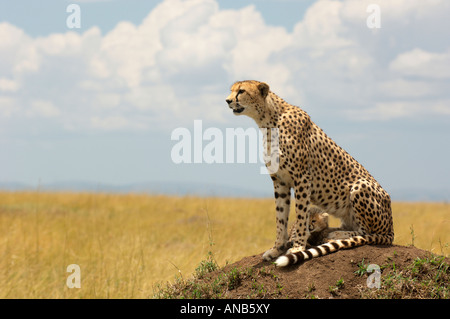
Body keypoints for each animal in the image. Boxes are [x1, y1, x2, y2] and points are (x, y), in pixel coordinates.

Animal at [225, 80, 394, 268]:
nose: (227, 100)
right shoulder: (280, 181)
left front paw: (298, 247)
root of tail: (391, 229)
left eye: (241, 91)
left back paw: (335, 235)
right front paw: (277, 248)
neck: (268, 121)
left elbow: (301, 215)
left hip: (361, 185)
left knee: (366, 232)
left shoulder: (302, 179)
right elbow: (280, 217)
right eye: (232, 90)